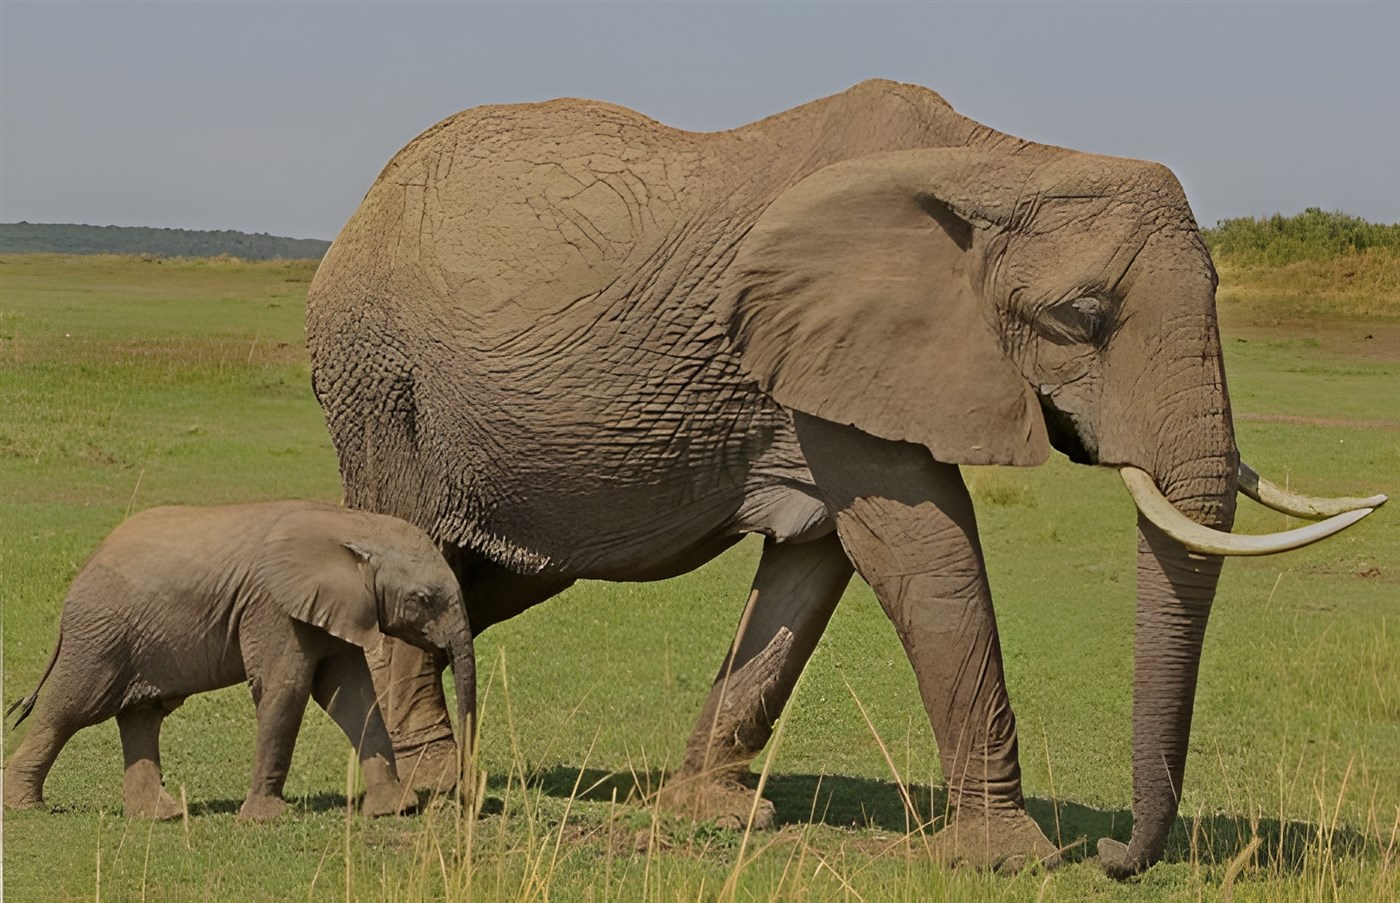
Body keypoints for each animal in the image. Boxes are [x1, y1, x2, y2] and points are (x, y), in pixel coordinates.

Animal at [2, 500, 475, 822]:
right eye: (423, 599)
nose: (459, 797)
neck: (351, 524)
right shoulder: (273, 606)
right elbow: (286, 689)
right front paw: (267, 820)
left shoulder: (335, 608)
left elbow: (352, 697)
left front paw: (393, 810)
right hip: (100, 638)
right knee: (69, 710)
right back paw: (25, 808)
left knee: (141, 716)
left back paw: (162, 816)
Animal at [305, 80, 1384, 874]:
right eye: (1080, 318)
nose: (1118, 853)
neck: (1003, 162)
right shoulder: (833, 353)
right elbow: (922, 546)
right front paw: (1011, 859)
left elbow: (814, 566)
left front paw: (717, 814)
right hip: (380, 380)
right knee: (414, 548)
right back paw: (433, 790)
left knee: (485, 576)